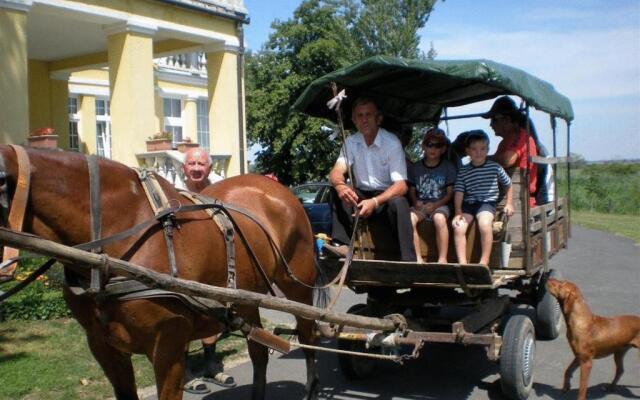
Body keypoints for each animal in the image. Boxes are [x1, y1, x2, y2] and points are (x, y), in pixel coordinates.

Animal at [0, 145, 320, 400]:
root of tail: (273, 187)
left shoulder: (168, 344)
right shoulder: (103, 345)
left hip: (298, 287)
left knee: (310, 336)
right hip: (246, 297)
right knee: (259, 351)